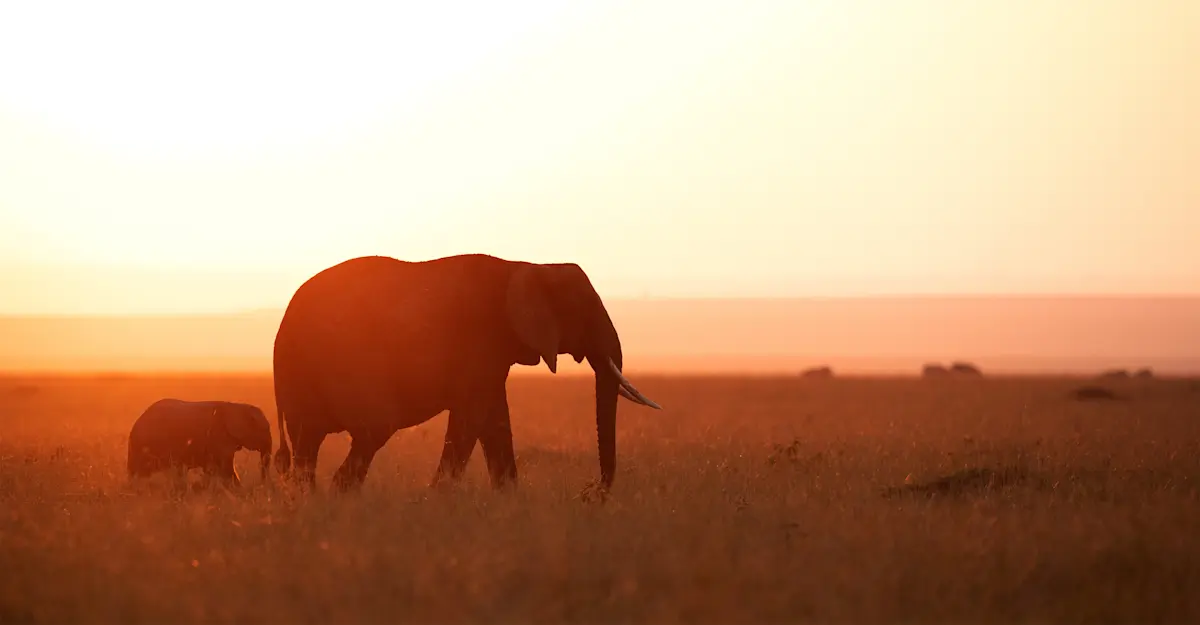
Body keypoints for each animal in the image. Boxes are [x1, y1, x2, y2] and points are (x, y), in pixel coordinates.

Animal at [271, 253, 661, 493]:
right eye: (583, 311)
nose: (588, 493)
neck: (527, 266)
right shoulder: (478, 341)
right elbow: (471, 418)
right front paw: (434, 501)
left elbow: (495, 421)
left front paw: (510, 503)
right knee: (372, 429)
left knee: (309, 445)